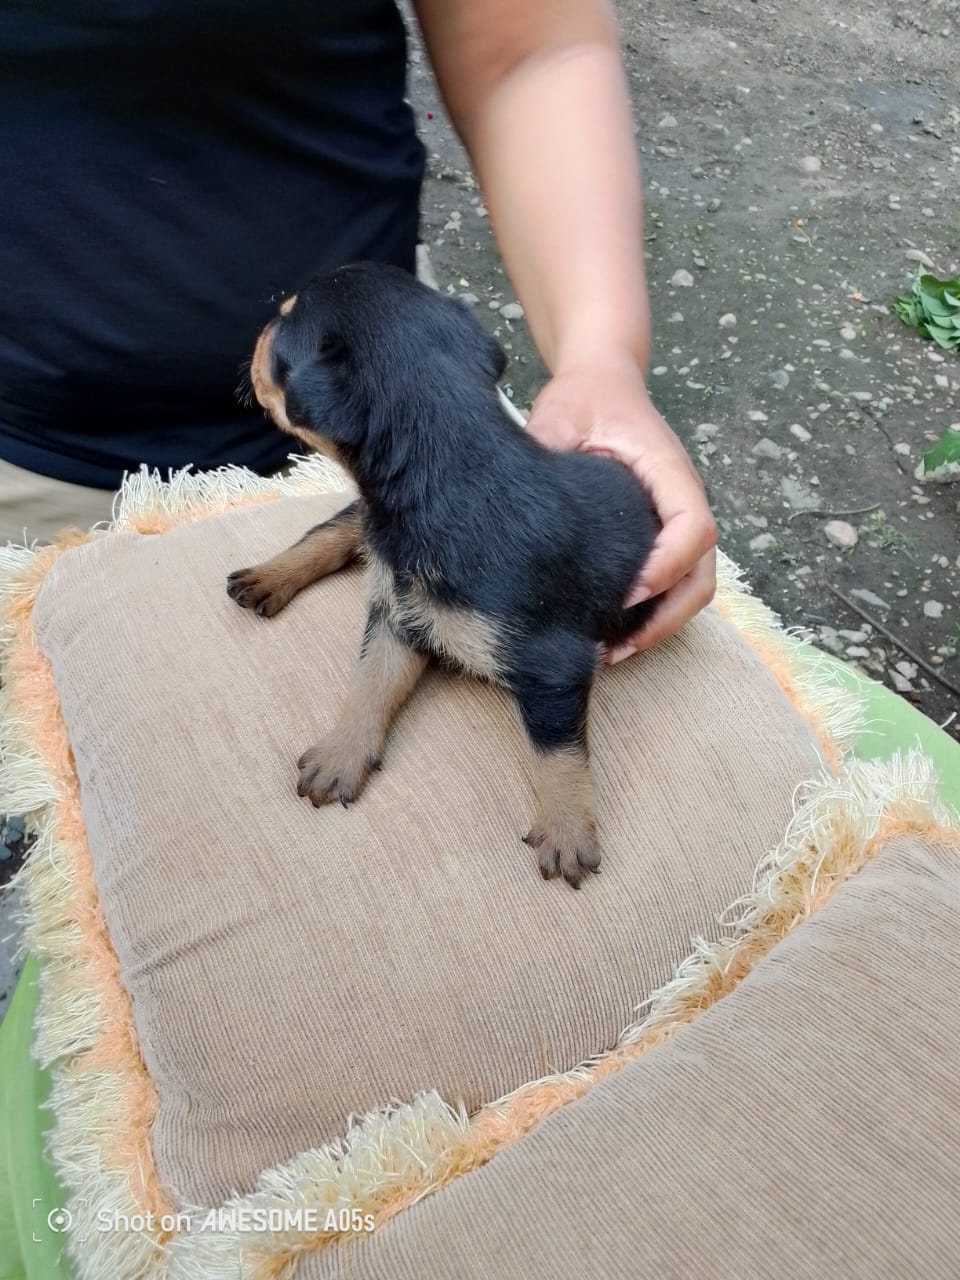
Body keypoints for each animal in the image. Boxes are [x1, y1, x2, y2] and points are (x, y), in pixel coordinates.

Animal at [227, 264, 660, 885]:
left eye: (284, 323)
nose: (257, 333)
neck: (445, 468)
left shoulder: (553, 662)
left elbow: (557, 753)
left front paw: (567, 833)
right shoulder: (397, 614)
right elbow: (370, 684)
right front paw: (340, 756)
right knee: (339, 528)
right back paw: (269, 576)